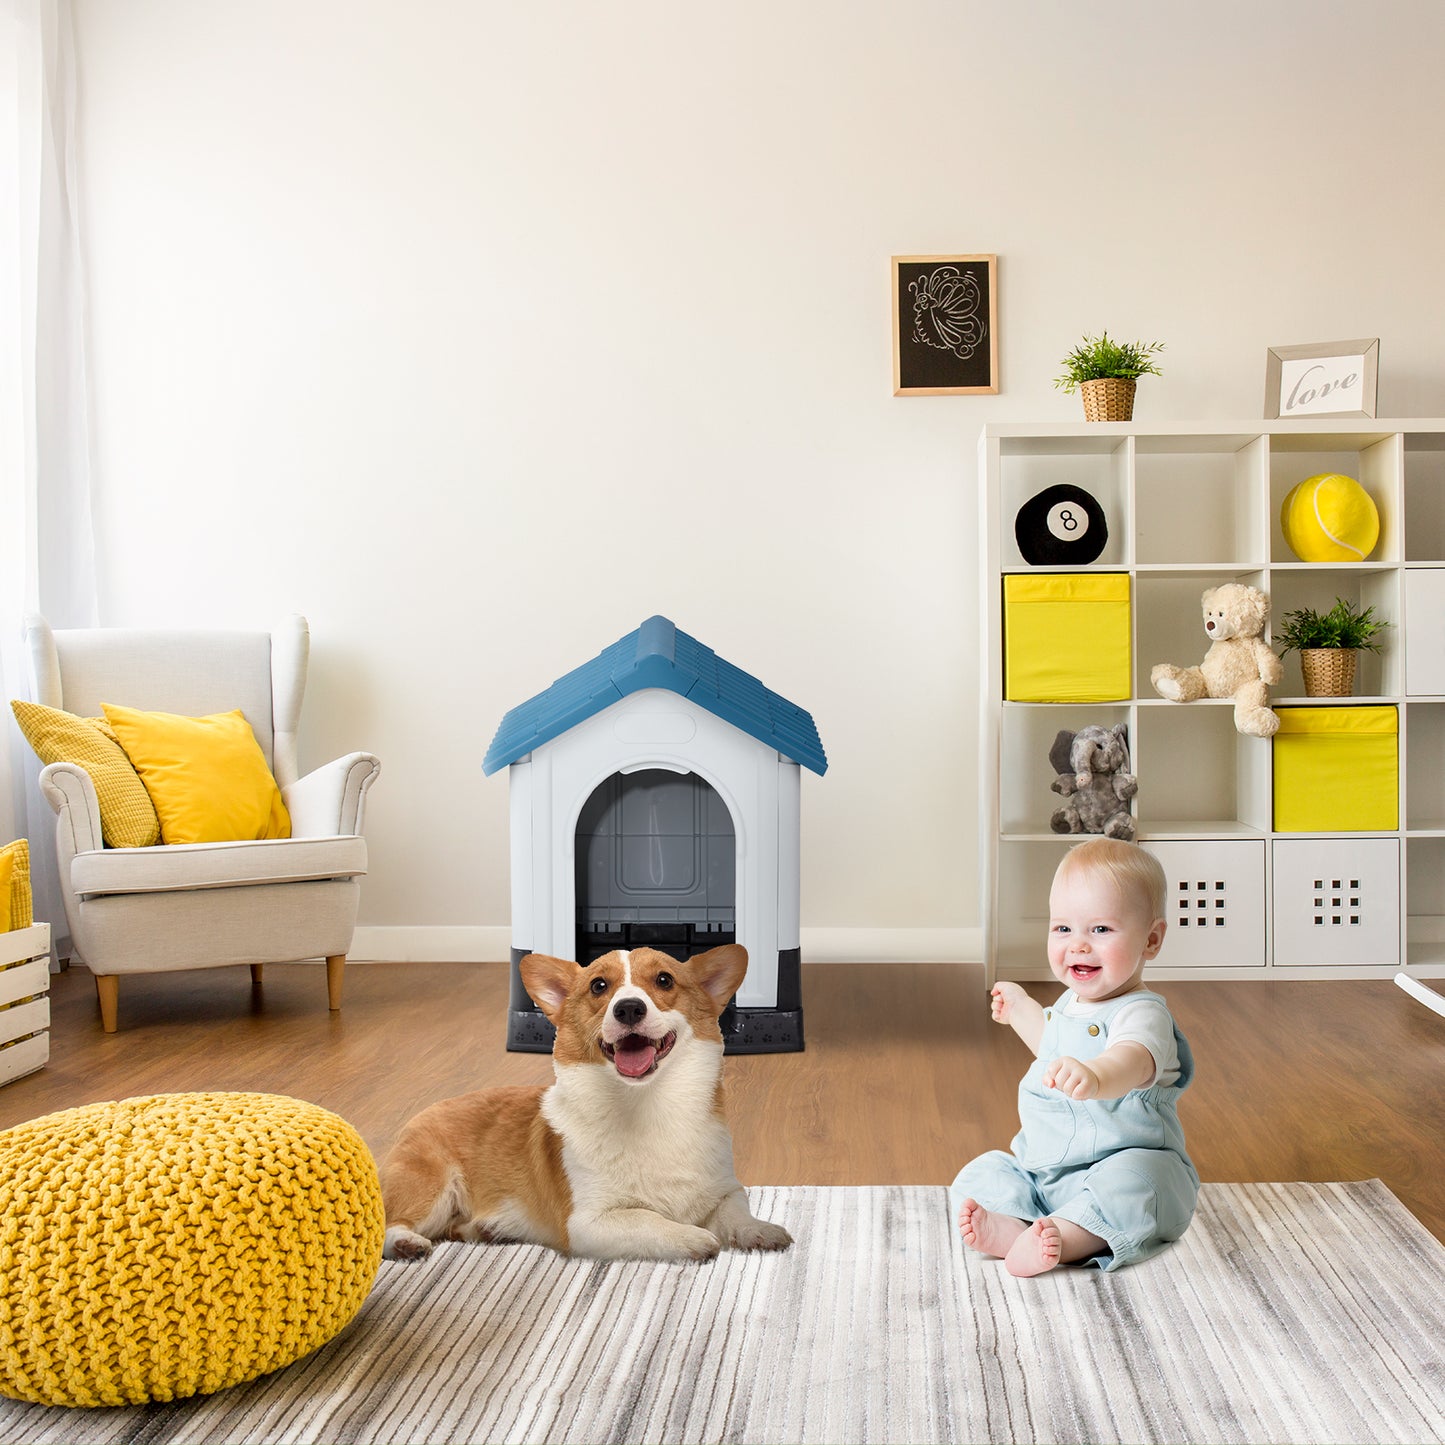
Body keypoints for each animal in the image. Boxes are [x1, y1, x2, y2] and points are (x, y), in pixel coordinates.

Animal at [378, 942, 791, 1260]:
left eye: (664, 980)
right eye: (598, 986)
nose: (629, 1008)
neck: (647, 1105)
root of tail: (420, 1113)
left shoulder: (724, 1189)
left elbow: (737, 1211)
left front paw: (760, 1230)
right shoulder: (589, 1221)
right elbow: (647, 1219)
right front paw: (692, 1237)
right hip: (431, 1187)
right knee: (389, 1222)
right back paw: (406, 1244)